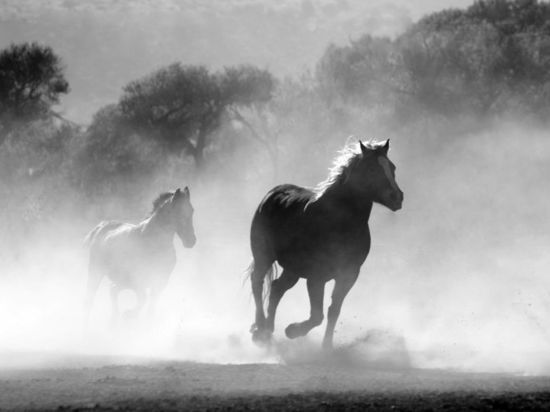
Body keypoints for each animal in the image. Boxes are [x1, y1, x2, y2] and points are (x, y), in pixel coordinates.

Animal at [84, 187, 196, 326]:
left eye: (192, 210)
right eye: (178, 212)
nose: (191, 241)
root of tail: (101, 227)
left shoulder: (160, 282)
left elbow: (151, 308)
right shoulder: (139, 281)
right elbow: (143, 299)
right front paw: (128, 315)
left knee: (113, 291)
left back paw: (114, 320)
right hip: (96, 272)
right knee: (90, 298)